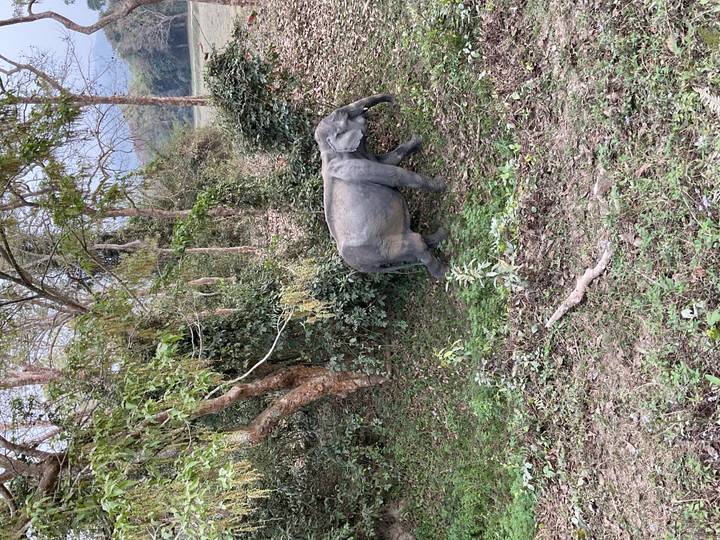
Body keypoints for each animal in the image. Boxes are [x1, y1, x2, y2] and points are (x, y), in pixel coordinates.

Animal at [314, 94, 448, 280]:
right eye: (342, 114)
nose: (395, 102)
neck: (326, 150)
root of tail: (363, 268)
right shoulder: (355, 168)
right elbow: (394, 174)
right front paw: (441, 184)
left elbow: (389, 159)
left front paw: (417, 140)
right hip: (381, 247)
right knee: (416, 245)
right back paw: (445, 271)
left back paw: (441, 235)